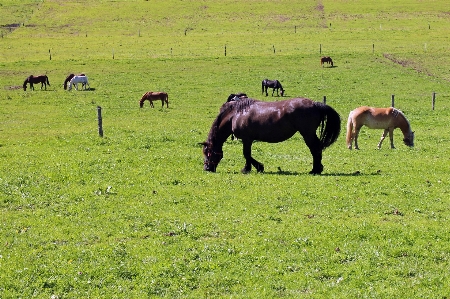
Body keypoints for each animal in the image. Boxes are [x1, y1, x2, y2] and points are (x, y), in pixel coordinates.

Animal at [201, 97, 342, 175]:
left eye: (208, 153)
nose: (207, 168)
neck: (236, 114)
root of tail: (315, 104)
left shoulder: (247, 139)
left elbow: (246, 154)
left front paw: (250, 168)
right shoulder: (248, 140)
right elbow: (248, 155)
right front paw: (256, 167)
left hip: (307, 134)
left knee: (315, 149)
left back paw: (315, 170)